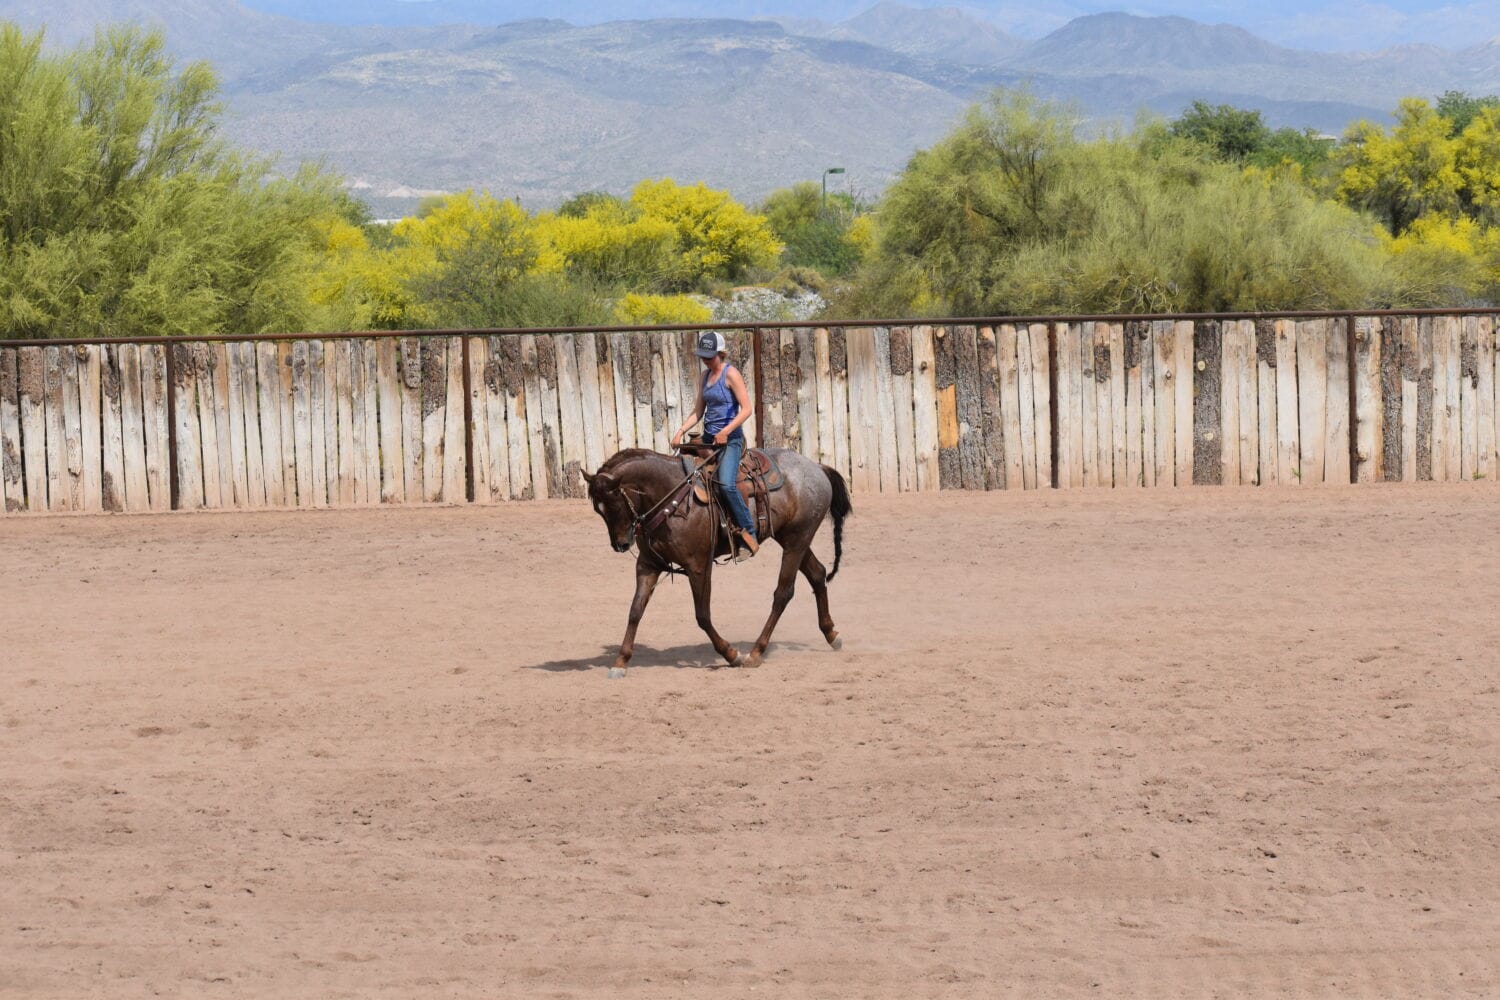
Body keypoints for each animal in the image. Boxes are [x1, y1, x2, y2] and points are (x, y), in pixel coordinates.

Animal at [582, 447, 852, 678]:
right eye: (598, 510)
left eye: (616, 504)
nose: (621, 545)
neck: (670, 498)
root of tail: (817, 467)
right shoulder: (648, 565)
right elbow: (635, 611)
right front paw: (620, 662)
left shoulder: (699, 566)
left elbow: (702, 615)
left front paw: (731, 654)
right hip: (790, 539)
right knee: (817, 574)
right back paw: (831, 634)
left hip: (798, 539)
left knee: (783, 593)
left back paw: (755, 652)